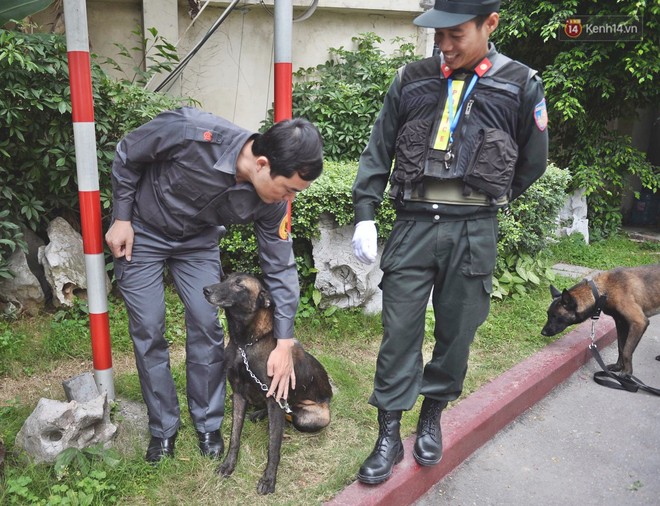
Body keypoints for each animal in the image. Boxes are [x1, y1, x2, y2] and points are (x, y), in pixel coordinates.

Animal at [201, 272, 332, 494]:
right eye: (225, 278)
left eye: (239, 285)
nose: (205, 290)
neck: (245, 345)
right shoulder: (238, 394)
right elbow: (234, 437)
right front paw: (229, 464)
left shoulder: (275, 398)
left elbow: (273, 445)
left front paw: (269, 479)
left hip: (311, 417)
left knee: (291, 417)